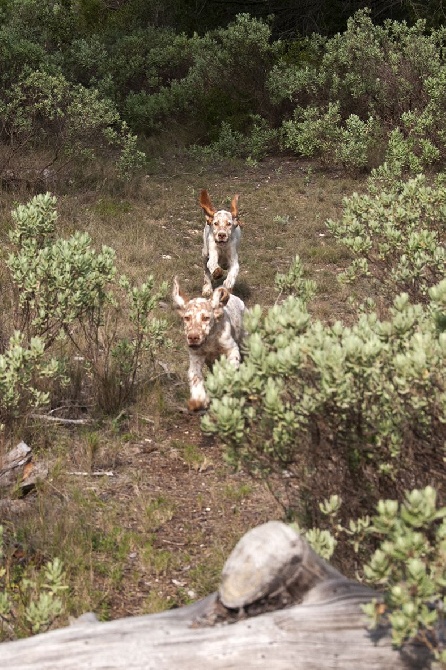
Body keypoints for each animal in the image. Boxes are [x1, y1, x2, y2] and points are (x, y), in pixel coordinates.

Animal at [172, 276, 246, 412]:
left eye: (206, 318)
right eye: (187, 318)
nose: (193, 337)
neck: (210, 340)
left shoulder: (232, 349)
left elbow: (229, 367)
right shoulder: (196, 357)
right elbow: (195, 376)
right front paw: (198, 399)